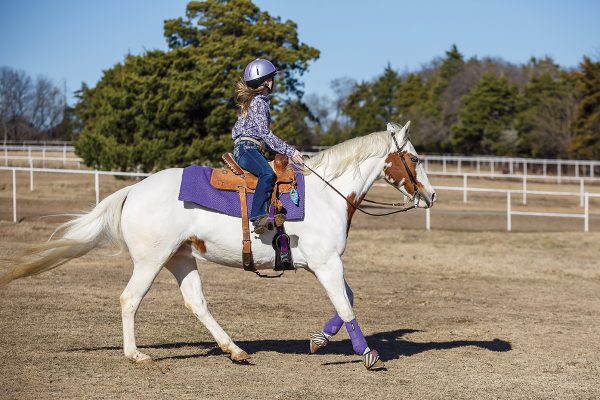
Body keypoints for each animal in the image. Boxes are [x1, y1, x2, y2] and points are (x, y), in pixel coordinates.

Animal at [0, 121, 432, 368]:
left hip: (180, 258)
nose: (429, 195)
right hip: (151, 260)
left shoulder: (325, 264)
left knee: (197, 303)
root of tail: (133, 190)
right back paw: (136, 355)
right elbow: (345, 305)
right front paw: (367, 355)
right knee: (129, 299)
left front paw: (318, 340)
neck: (327, 194)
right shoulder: (326, 263)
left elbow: (348, 300)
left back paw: (235, 350)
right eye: (413, 157)